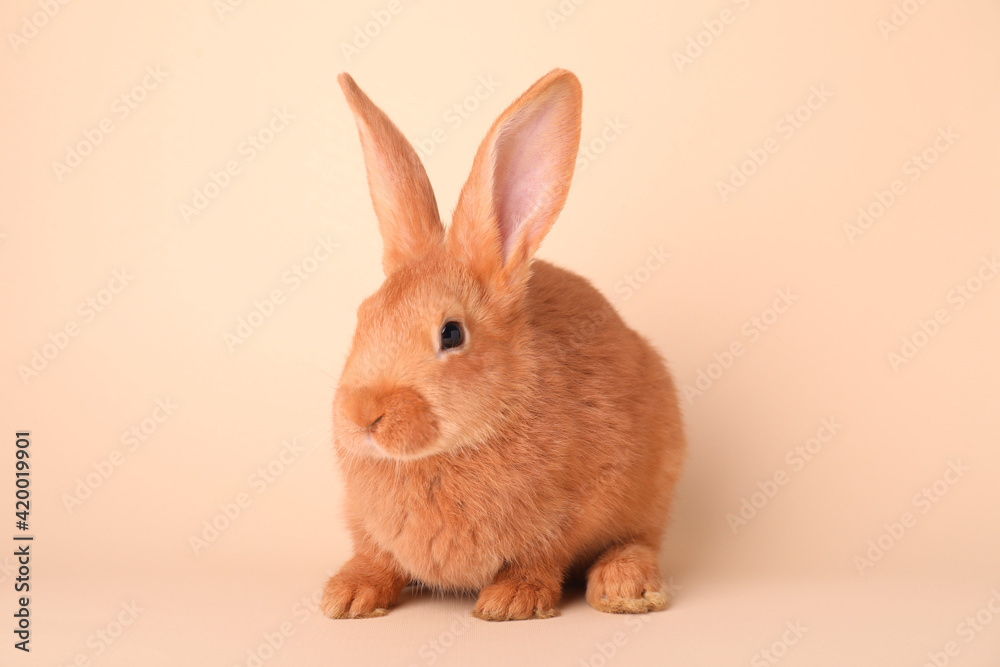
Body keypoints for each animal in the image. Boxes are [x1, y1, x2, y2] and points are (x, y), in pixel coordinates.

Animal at [321, 68, 686, 622]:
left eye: (451, 333)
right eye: (364, 317)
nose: (364, 416)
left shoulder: (572, 510)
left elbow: (540, 556)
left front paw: (511, 601)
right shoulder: (369, 527)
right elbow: (375, 556)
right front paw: (347, 595)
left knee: (638, 541)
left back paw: (626, 588)